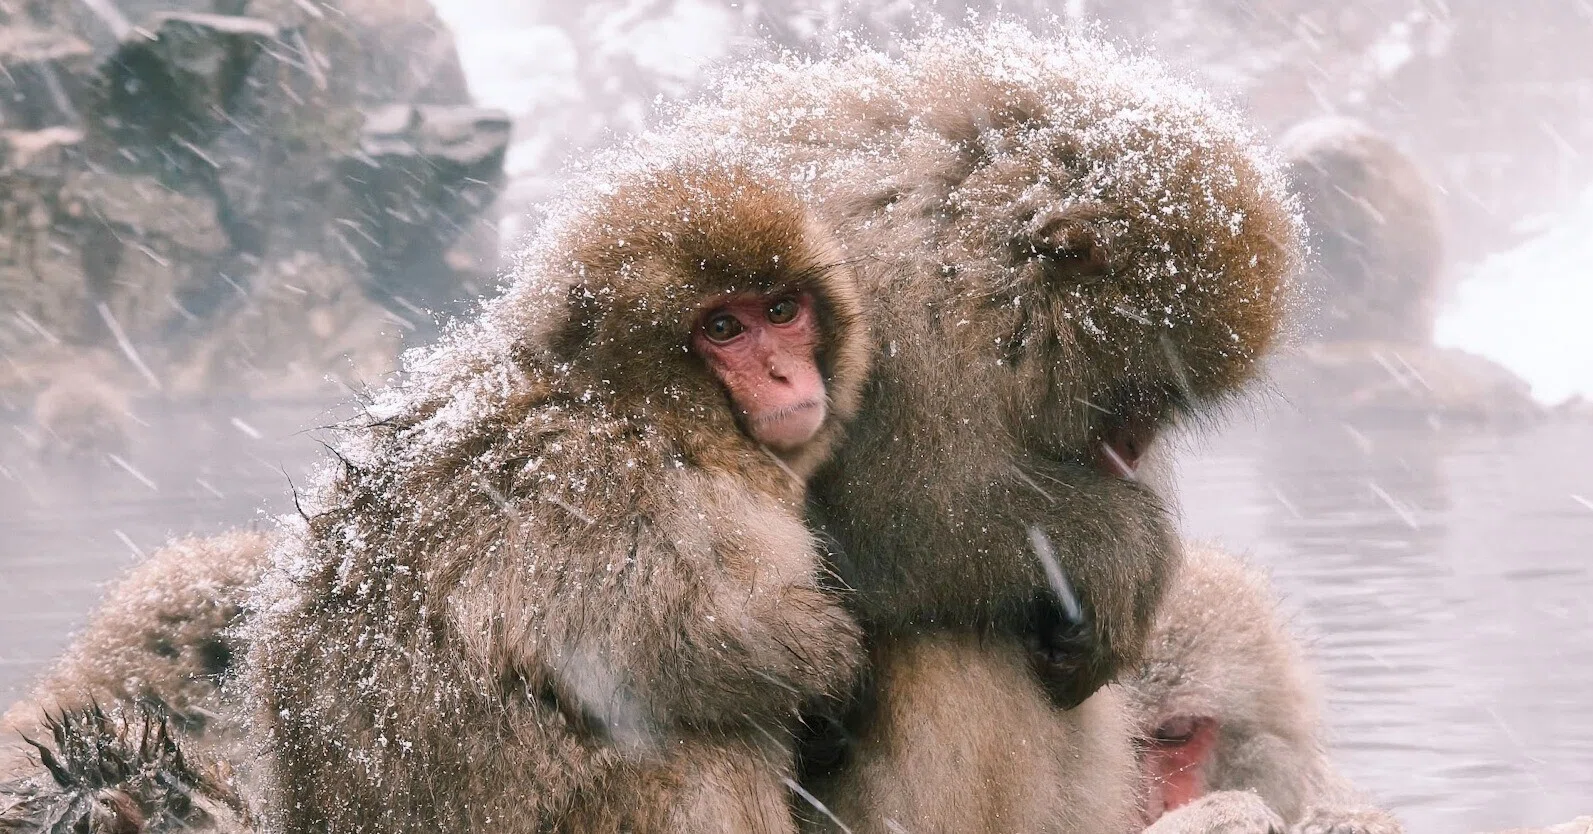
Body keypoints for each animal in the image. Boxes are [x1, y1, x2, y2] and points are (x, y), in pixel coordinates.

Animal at [235, 163, 871, 833]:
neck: (629, 404)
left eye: (783, 310)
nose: (783, 375)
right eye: (722, 328)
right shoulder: (592, 483)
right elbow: (668, 642)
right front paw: (831, 662)